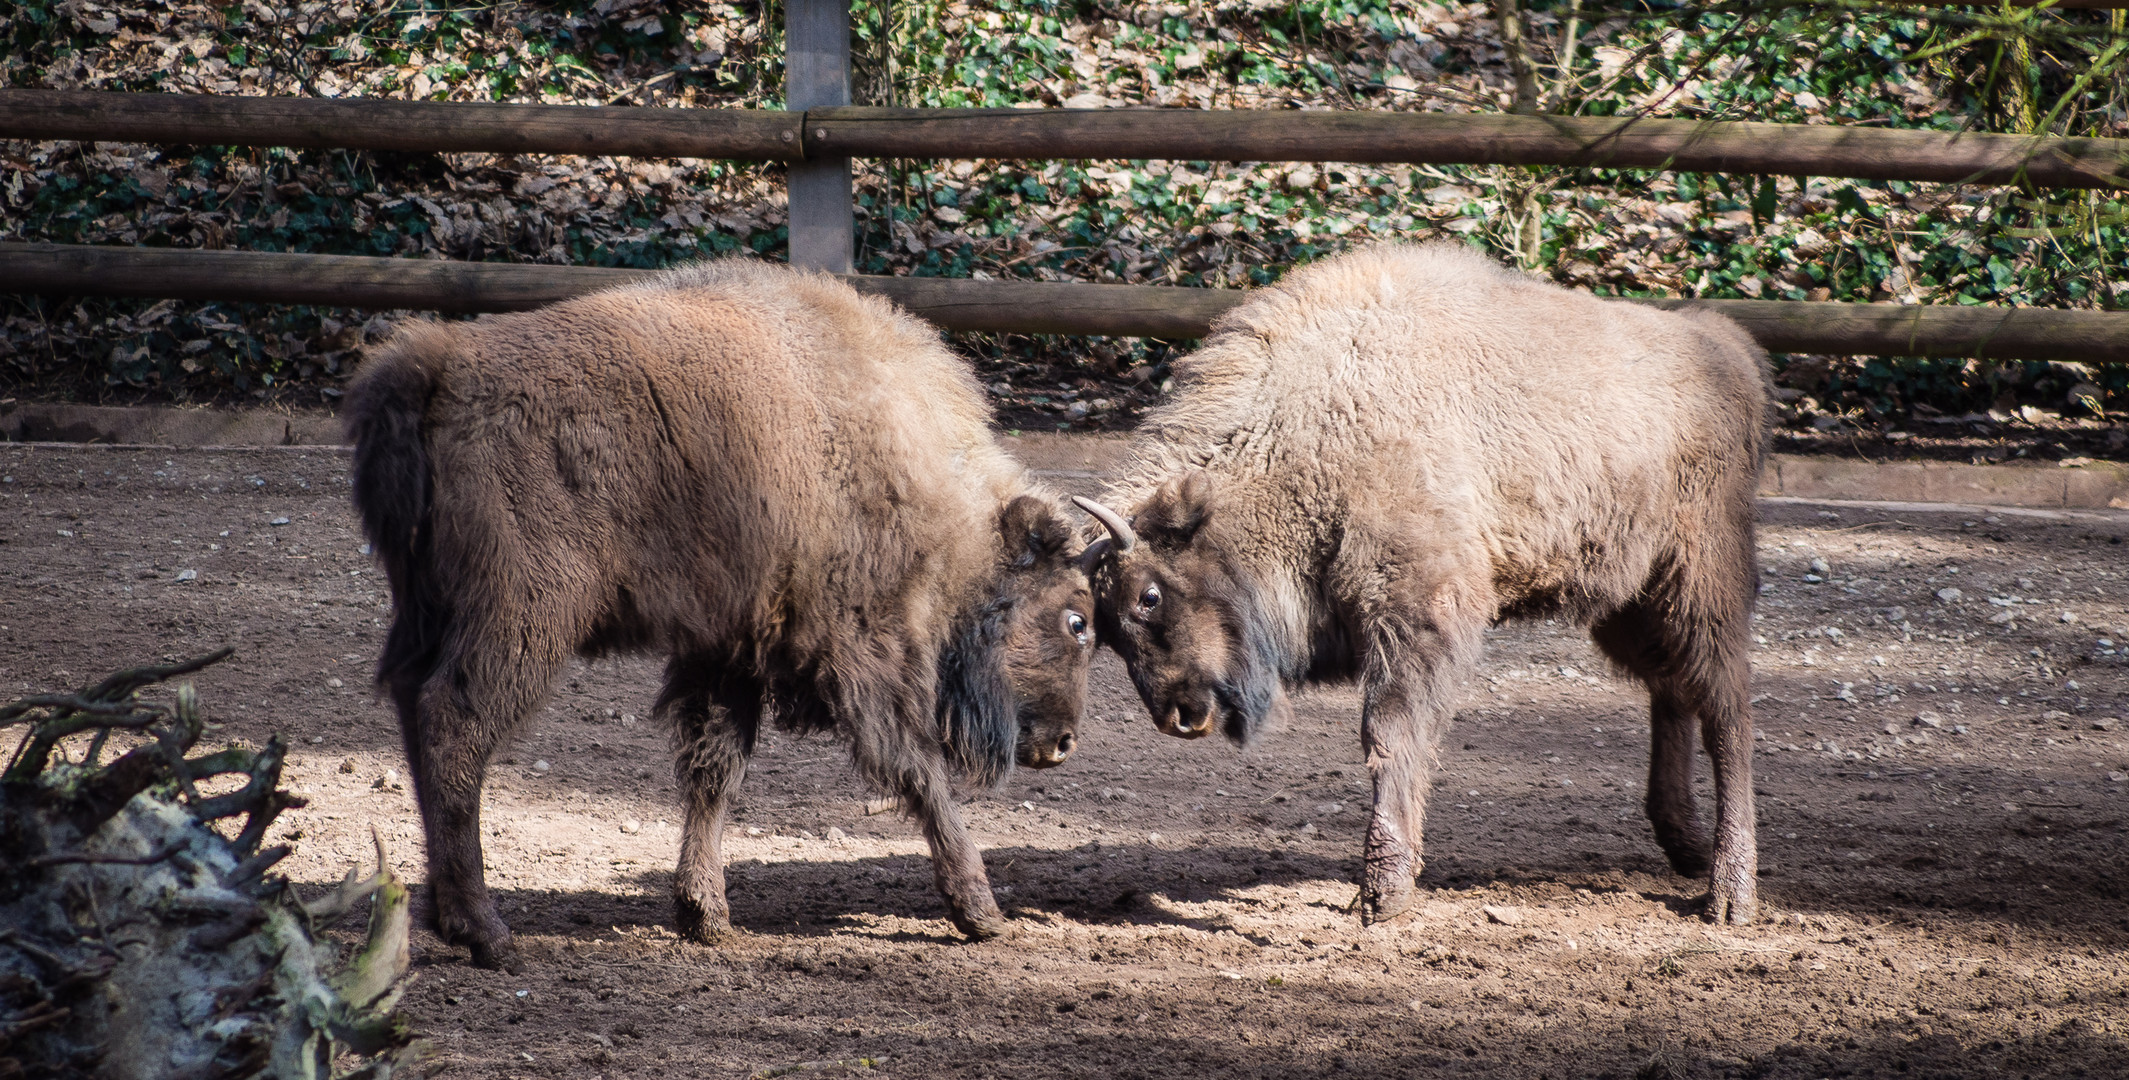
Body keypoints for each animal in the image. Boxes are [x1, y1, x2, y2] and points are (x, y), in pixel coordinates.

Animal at [349, 264, 1098, 971]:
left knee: (415, 711)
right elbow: (919, 769)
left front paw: (703, 914)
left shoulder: (728, 648)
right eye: (1077, 619)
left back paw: (444, 914)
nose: (1063, 742)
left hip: (427, 613)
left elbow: (714, 770)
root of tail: (441, 365)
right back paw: (486, 933)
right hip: (522, 621)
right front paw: (981, 910)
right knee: (455, 726)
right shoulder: (863, 650)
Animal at [1090, 244, 1771, 928]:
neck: (1309, 421)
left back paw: (1730, 895)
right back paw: (1686, 848)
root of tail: (1726, 347)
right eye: (1107, 633)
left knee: (1726, 707)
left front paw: (1382, 894)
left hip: (1702, 581)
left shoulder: (1416, 614)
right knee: (1672, 690)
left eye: (1149, 596)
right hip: (1629, 602)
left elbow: (1391, 734)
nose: (1179, 715)